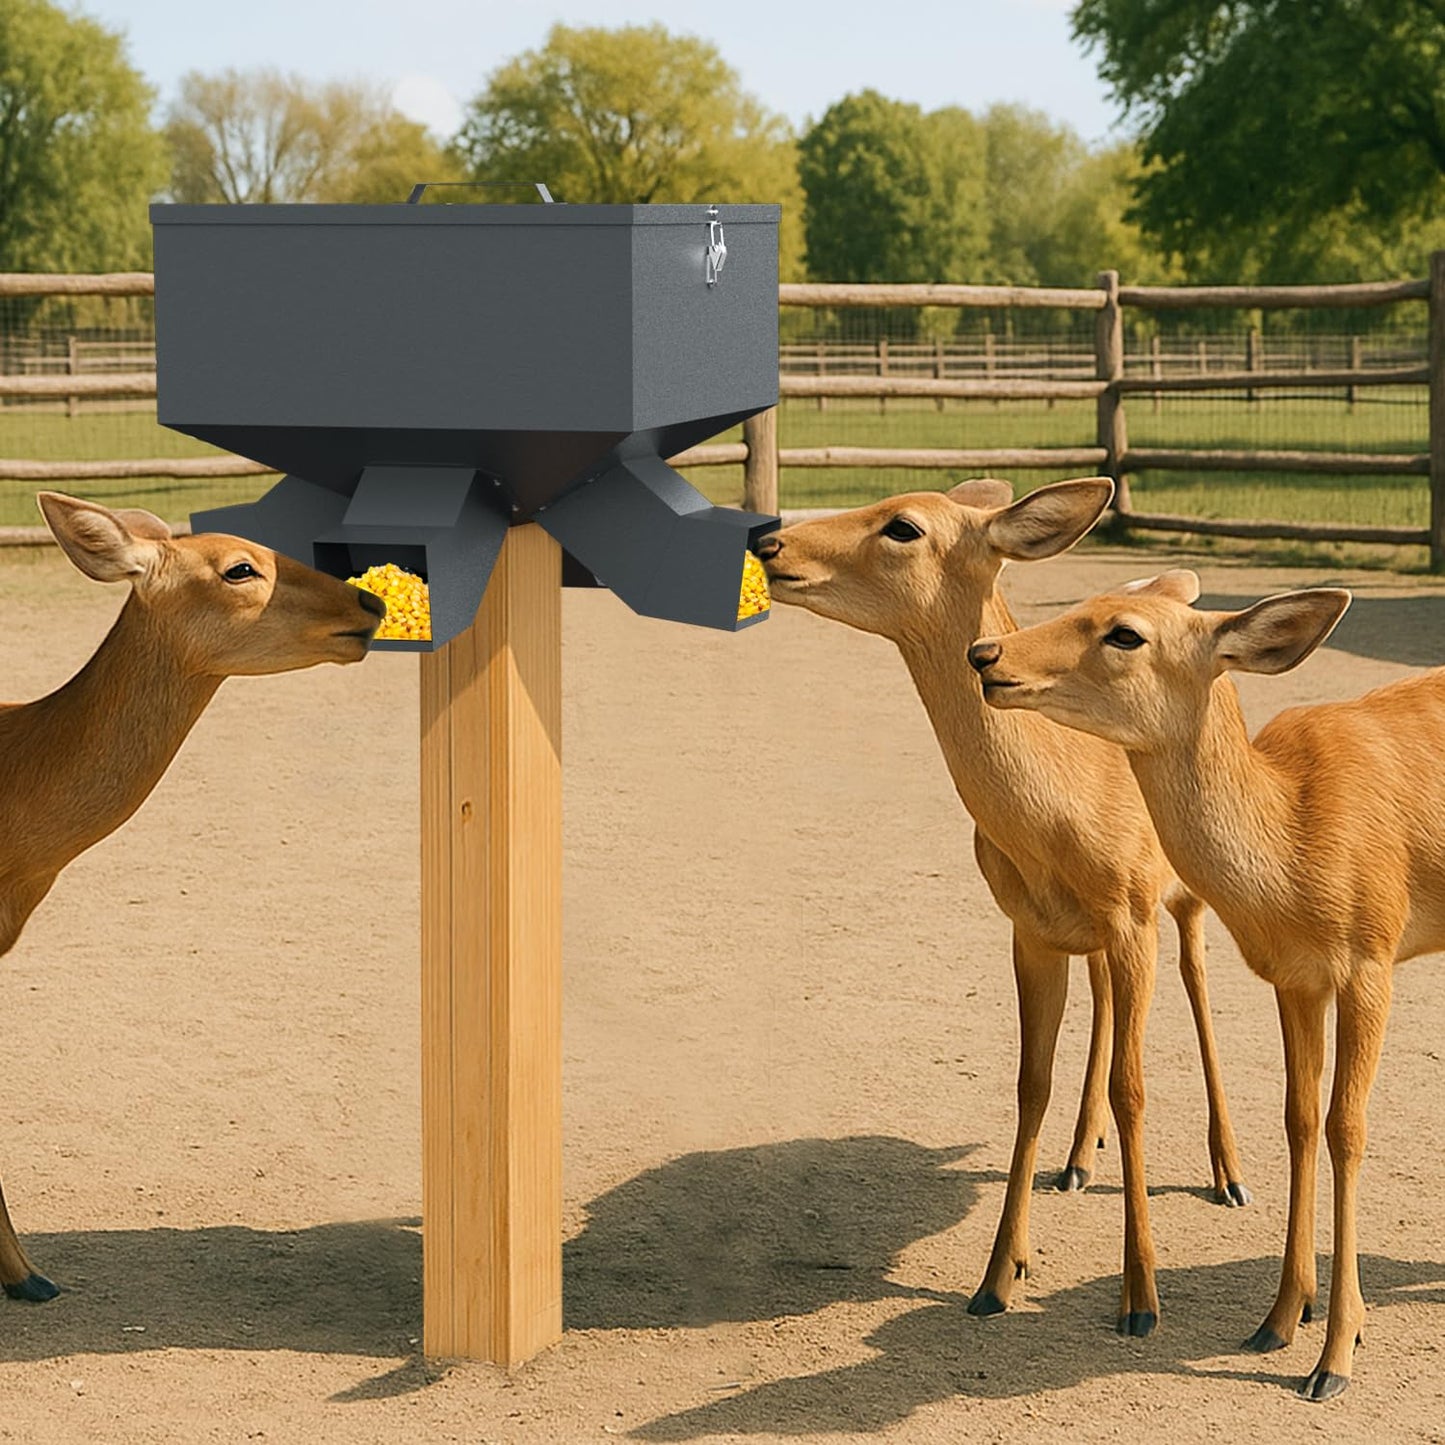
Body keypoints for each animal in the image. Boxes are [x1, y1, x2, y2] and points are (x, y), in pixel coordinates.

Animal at [756, 477, 1248, 1338]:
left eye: (902, 525)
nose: (766, 541)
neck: (1058, 816)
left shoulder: (1133, 908)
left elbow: (1133, 1086)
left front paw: (1140, 1298)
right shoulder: (1028, 927)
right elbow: (1030, 1082)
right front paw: (995, 1278)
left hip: (1184, 891)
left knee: (1196, 981)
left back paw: (1227, 1171)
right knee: (1104, 1002)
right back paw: (1077, 1160)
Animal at [965, 538, 1423, 1401]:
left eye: (1125, 631)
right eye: (1084, 600)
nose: (985, 654)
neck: (1297, 834)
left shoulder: (1371, 954)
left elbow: (1347, 1127)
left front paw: (1334, 1357)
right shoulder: (1297, 973)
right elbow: (1298, 1116)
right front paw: (1277, 1320)